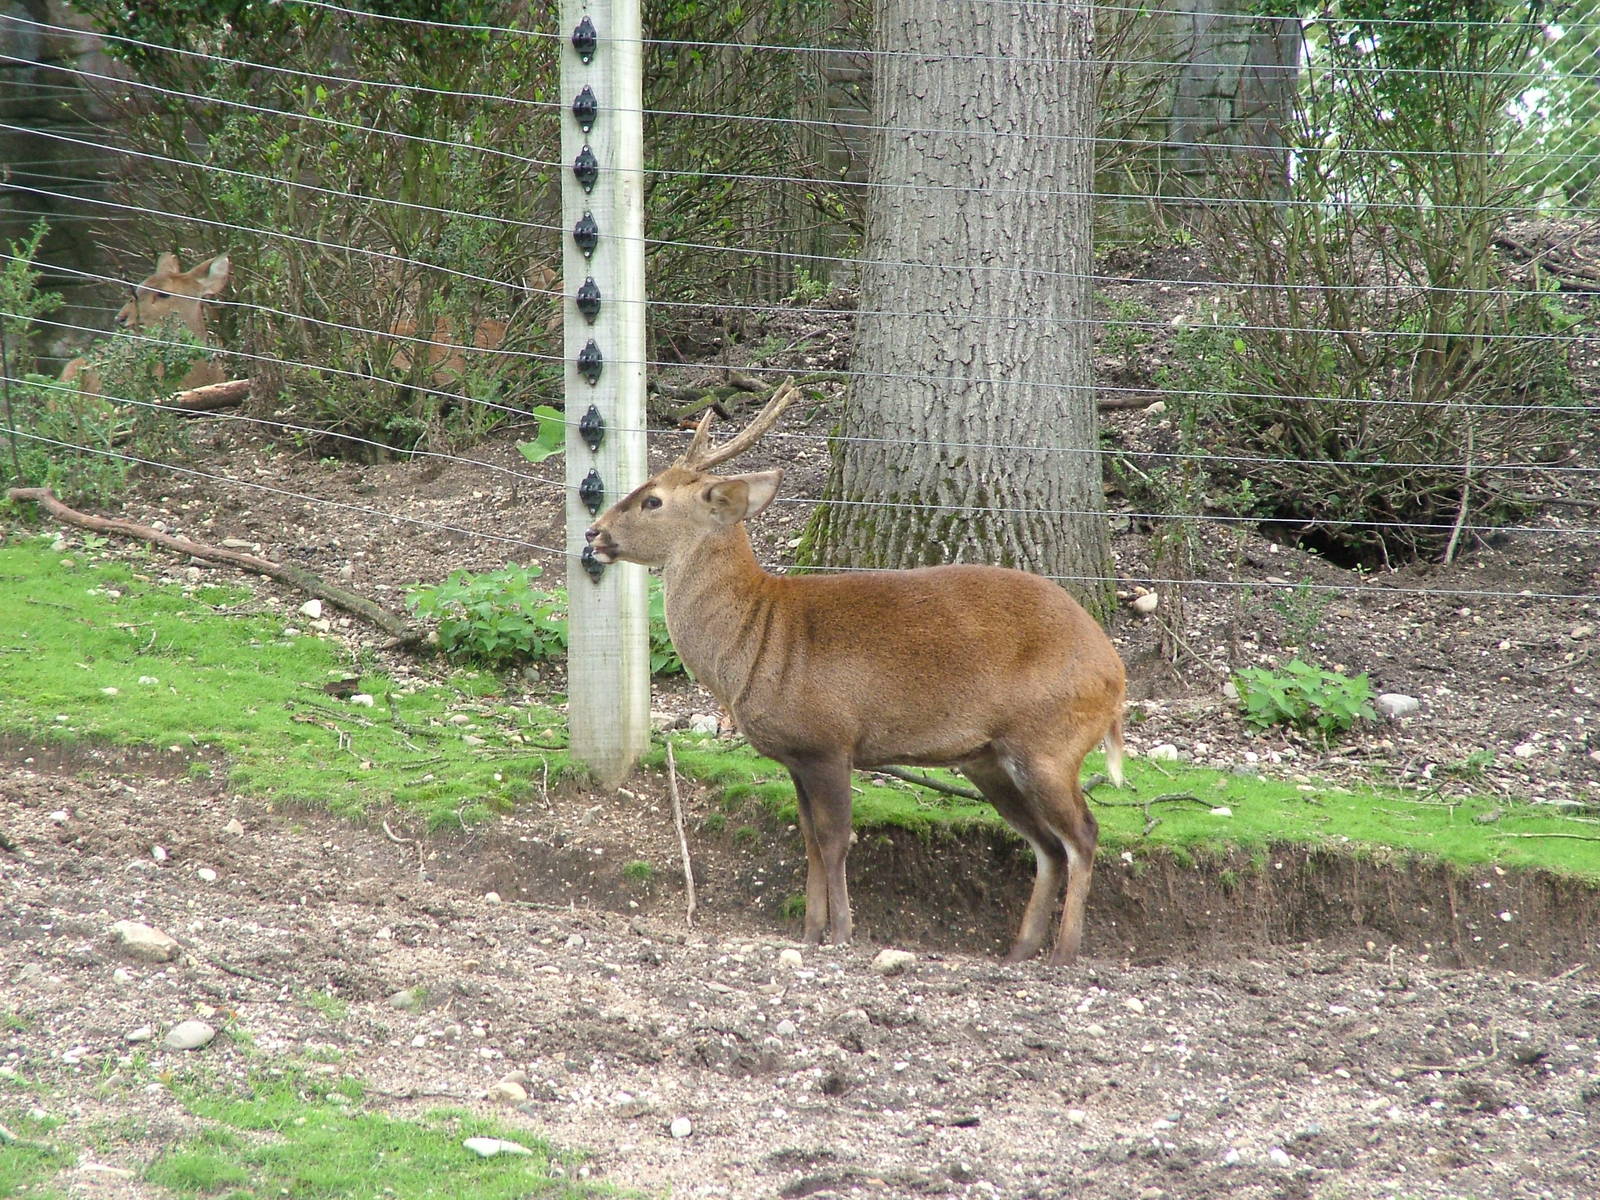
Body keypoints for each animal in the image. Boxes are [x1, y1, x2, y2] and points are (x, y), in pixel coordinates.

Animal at [585, 380, 1127, 966]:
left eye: (652, 500)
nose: (593, 532)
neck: (756, 639)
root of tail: (1115, 674)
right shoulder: (796, 754)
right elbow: (808, 839)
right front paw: (809, 931)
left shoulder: (830, 739)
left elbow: (835, 839)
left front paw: (842, 932)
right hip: (990, 758)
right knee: (1048, 845)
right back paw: (1021, 950)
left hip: (1050, 741)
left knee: (1084, 834)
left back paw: (1065, 952)